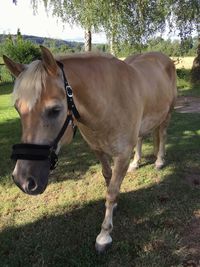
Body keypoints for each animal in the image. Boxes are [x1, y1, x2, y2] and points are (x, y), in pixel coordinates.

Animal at [3, 46, 177, 253]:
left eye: (54, 110)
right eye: (17, 108)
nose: (22, 180)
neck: (109, 101)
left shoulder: (122, 155)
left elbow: (111, 192)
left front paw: (104, 235)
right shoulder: (98, 150)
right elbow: (109, 180)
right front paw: (114, 207)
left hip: (167, 114)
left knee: (163, 134)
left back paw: (159, 161)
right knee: (141, 137)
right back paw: (136, 163)